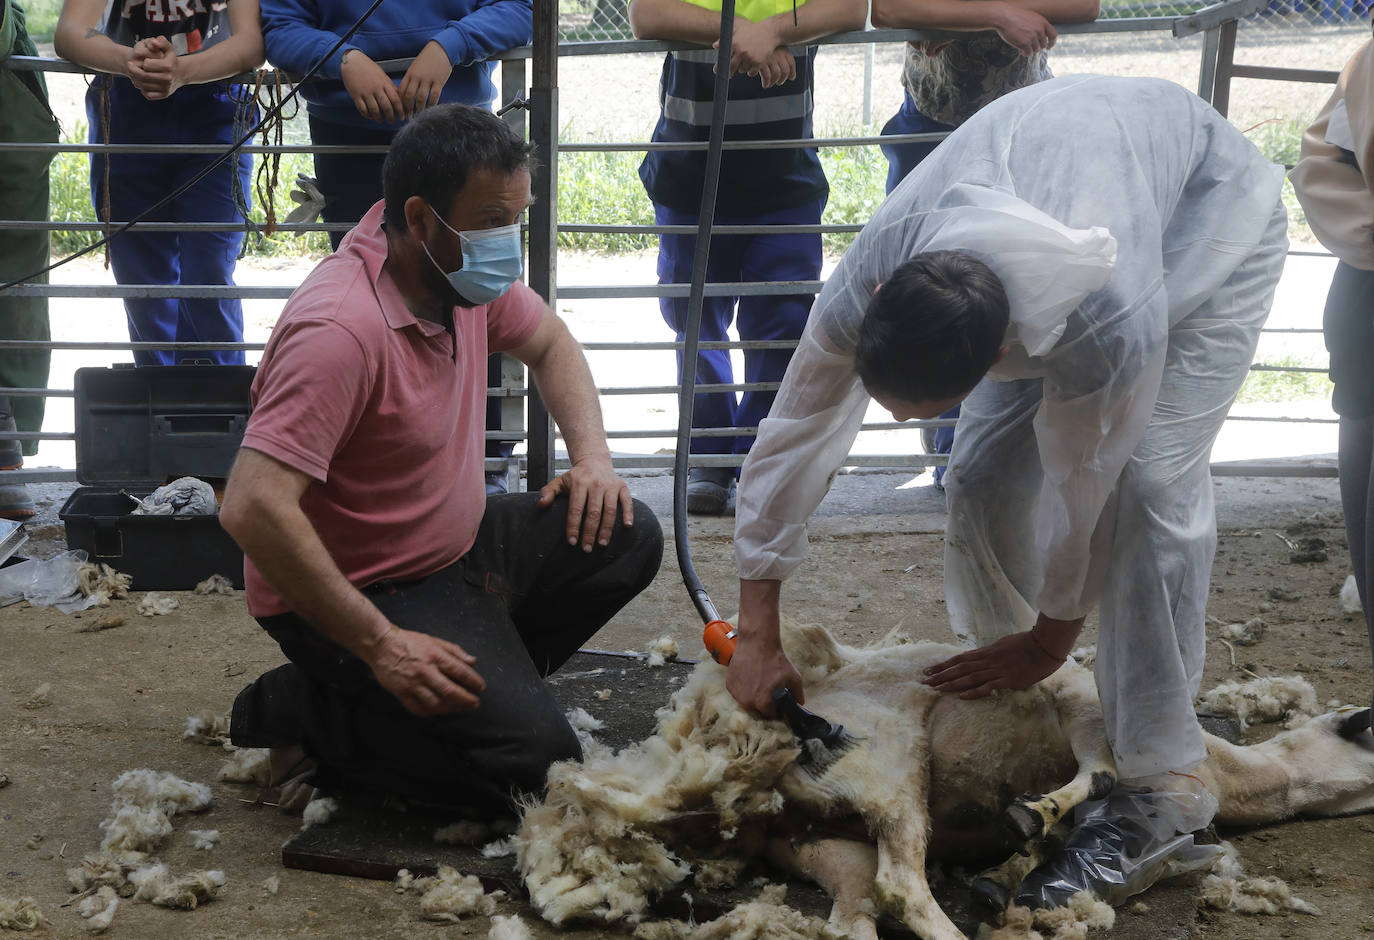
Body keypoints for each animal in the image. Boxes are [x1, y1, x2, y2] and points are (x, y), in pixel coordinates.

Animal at [516, 621, 1374, 934]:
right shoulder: (1080, 698)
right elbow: (1097, 774)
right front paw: (1036, 817)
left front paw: (1020, 861)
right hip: (893, 764)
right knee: (902, 886)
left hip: (822, 842)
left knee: (864, 905)